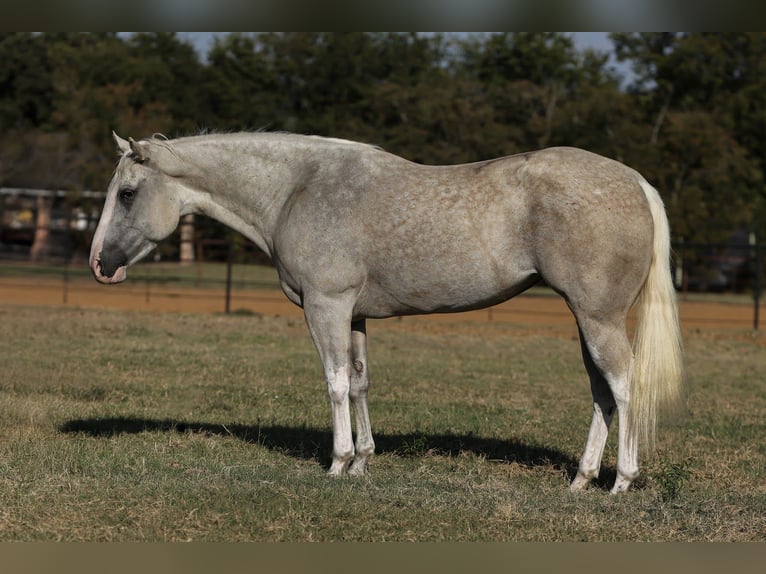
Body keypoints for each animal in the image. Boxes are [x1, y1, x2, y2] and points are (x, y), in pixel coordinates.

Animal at [89, 131, 683, 493]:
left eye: (127, 193)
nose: (100, 264)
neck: (297, 189)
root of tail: (634, 180)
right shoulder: (353, 316)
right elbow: (358, 382)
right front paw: (362, 460)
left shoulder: (326, 307)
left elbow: (333, 383)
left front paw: (336, 463)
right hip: (586, 320)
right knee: (602, 392)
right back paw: (582, 478)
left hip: (598, 318)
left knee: (623, 386)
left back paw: (621, 481)